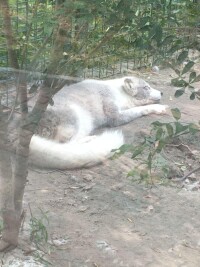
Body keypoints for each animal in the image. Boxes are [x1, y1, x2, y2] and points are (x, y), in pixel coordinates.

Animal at [29, 77, 167, 170]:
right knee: (63, 144)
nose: (162, 92)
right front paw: (159, 108)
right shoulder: (115, 117)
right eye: (146, 88)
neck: (118, 92)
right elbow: (139, 109)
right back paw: (89, 140)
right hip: (75, 116)